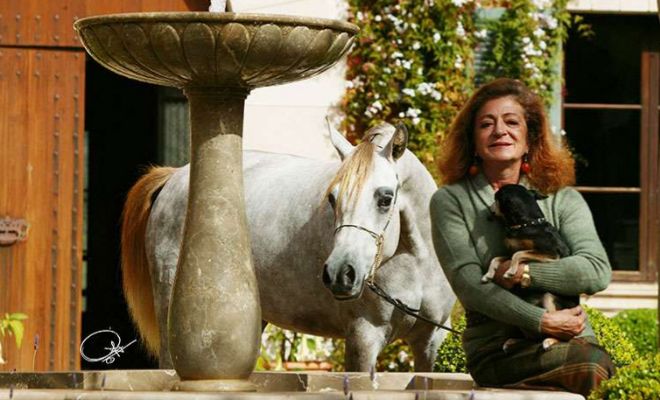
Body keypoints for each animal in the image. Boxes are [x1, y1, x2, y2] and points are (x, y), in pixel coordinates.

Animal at [120, 122, 455, 371]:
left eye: (385, 198)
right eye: (332, 197)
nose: (341, 273)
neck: (415, 265)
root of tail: (175, 177)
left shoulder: (431, 341)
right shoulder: (364, 339)